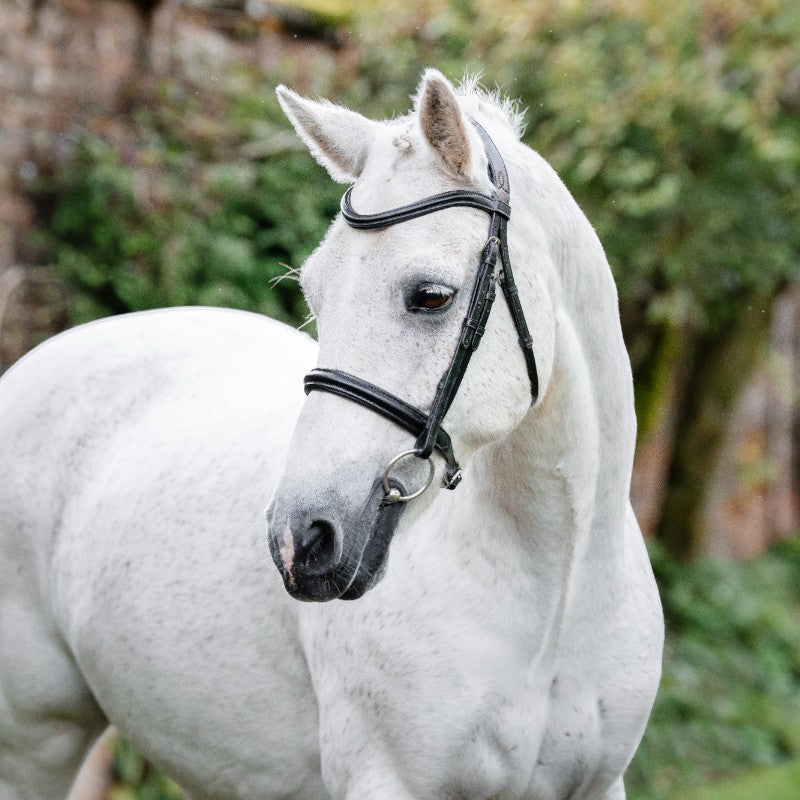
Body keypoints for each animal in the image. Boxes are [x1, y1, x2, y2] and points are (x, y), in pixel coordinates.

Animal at [0, 69, 663, 800]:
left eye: (431, 295)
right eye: (315, 295)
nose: (300, 539)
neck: (555, 601)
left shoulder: (600, 784)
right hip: (34, 739)